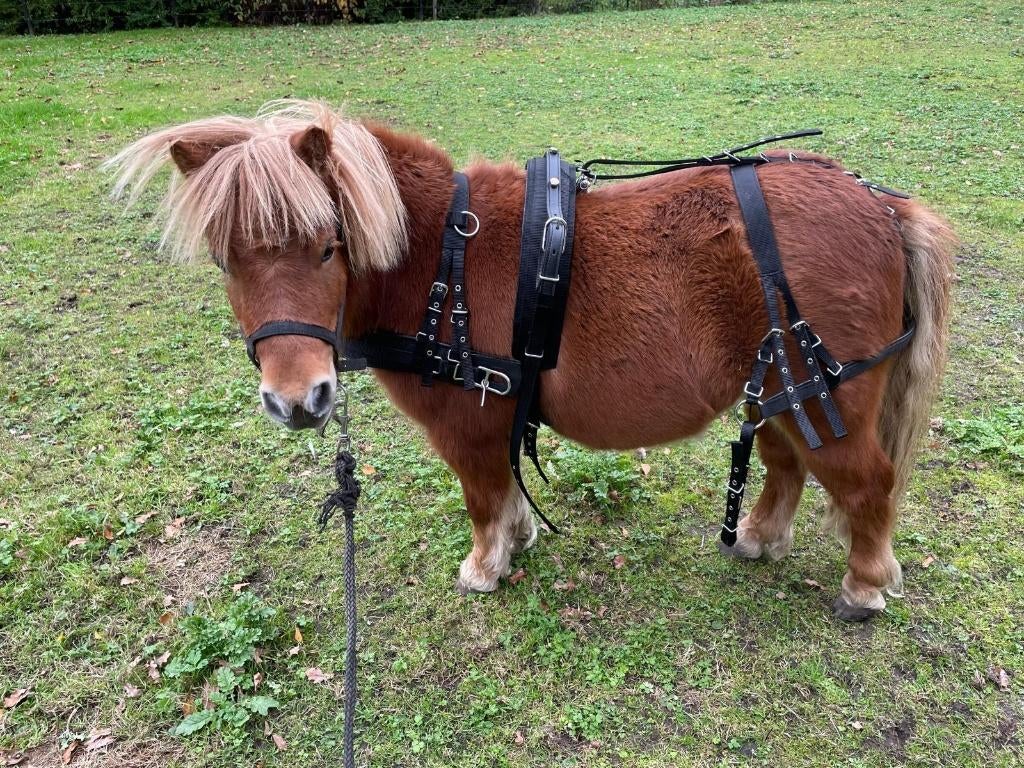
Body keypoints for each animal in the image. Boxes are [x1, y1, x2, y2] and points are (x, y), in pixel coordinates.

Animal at [106, 100, 955, 621]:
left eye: (326, 246)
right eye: (226, 260)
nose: (297, 400)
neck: (442, 259)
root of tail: (882, 206)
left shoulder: (469, 426)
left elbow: (483, 498)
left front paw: (486, 566)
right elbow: (506, 496)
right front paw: (519, 541)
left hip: (827, 396)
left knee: (866, 483)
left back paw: (865, 585)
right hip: (779, 388)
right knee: (786, 463)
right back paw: (758, 537)